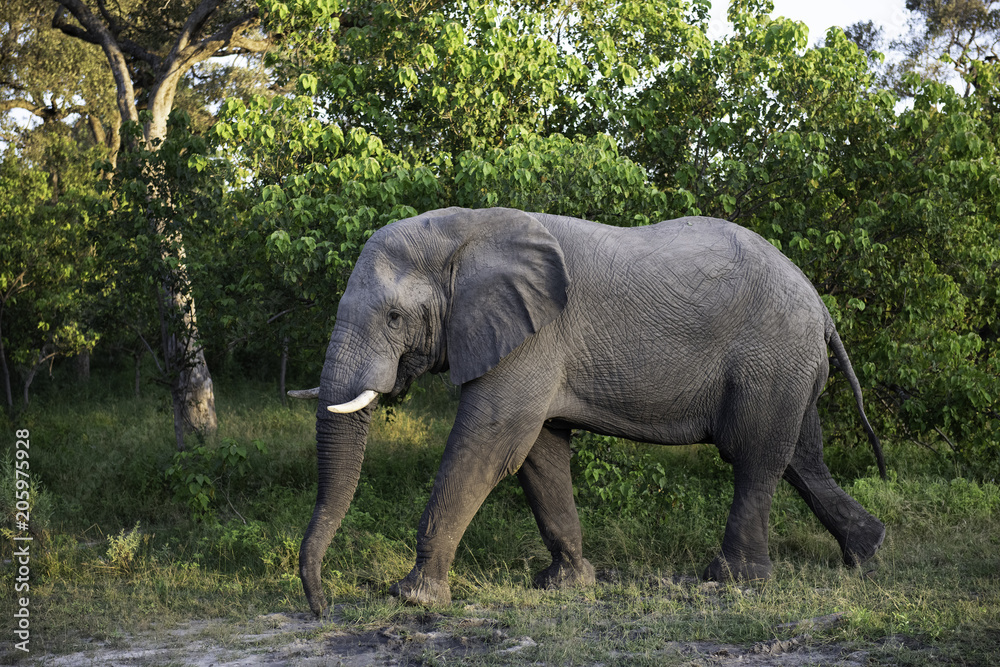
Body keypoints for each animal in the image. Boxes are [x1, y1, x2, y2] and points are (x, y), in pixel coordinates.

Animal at [294, 206, 887, 617]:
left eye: (394, 317)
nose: (323, 607)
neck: (466, 228)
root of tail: (820, 306)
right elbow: (540, 453)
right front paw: (566, 585)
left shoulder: (535, 337)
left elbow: (492, 443)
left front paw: (412, 598)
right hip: (789, 367)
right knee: (801, 457)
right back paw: (865, 554)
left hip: (770, 358)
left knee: (755, 456)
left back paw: (731, 581)